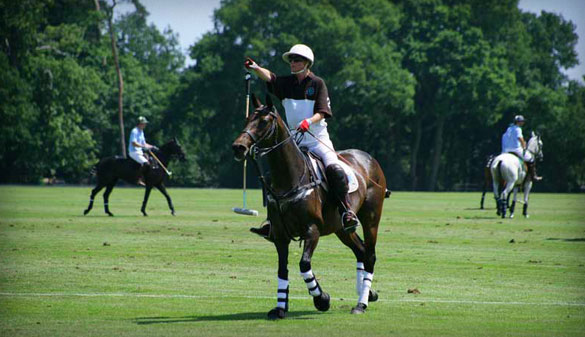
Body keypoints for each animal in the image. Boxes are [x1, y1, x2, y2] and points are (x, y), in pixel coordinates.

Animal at [232, 95, 388, 318]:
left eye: (263, 121)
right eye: (247, 119)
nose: (238, 147)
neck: (290, 179)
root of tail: (370, 159)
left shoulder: (311, 230)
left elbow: (304, 264)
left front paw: (322, 299)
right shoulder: (279, 235)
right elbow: (282, 269)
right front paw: (280, 307)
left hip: (371, 218)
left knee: (370, 255)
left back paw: (361, 303)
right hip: (341, 228)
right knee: (360, 251)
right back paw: (368, 294)